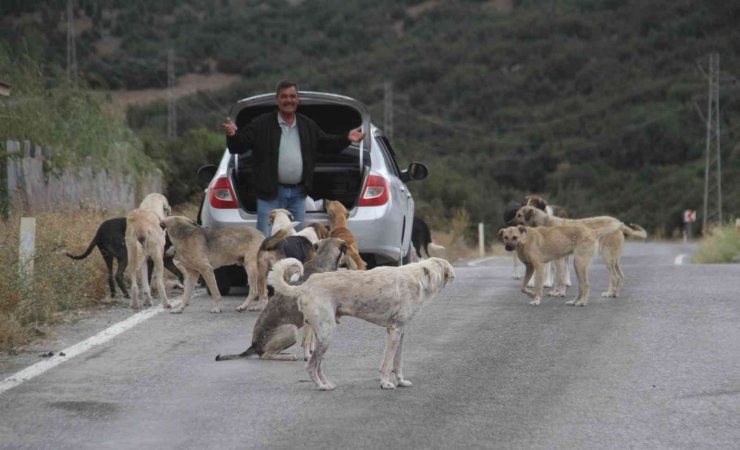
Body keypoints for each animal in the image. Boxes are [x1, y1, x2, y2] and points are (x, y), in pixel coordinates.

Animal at [214, 239, 350, 362]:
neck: (323, 260)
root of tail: (254, 346)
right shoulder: (308, 317)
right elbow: (307, 340)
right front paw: (307, 356)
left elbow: (312, 339)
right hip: (291, 329)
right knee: (265, 355)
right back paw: (288, 356)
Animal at [270, 256, 456, 390]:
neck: (419, 277)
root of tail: (305, 286)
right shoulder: (394, 331)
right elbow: (388, 364)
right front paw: (385, 383)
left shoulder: (400, 332)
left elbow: (398, 363)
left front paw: (401, 382)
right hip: (326, 334)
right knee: (310, 366)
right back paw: (322, 387)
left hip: (322, 336)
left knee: (317, 365)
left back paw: (326, 383)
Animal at [512, 207, 644, 298]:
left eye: (519, 215)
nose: (508, 223)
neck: (544, 222)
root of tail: (617, 222)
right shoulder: (558, 259)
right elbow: (559, 277)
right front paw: (556, 291)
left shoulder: (559, 260)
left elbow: (561, 277)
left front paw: (560, 293)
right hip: (614, 260)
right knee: (620, 275)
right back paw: (615, 293)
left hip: (606, 257)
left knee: (615, 276)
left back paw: (610, 293)